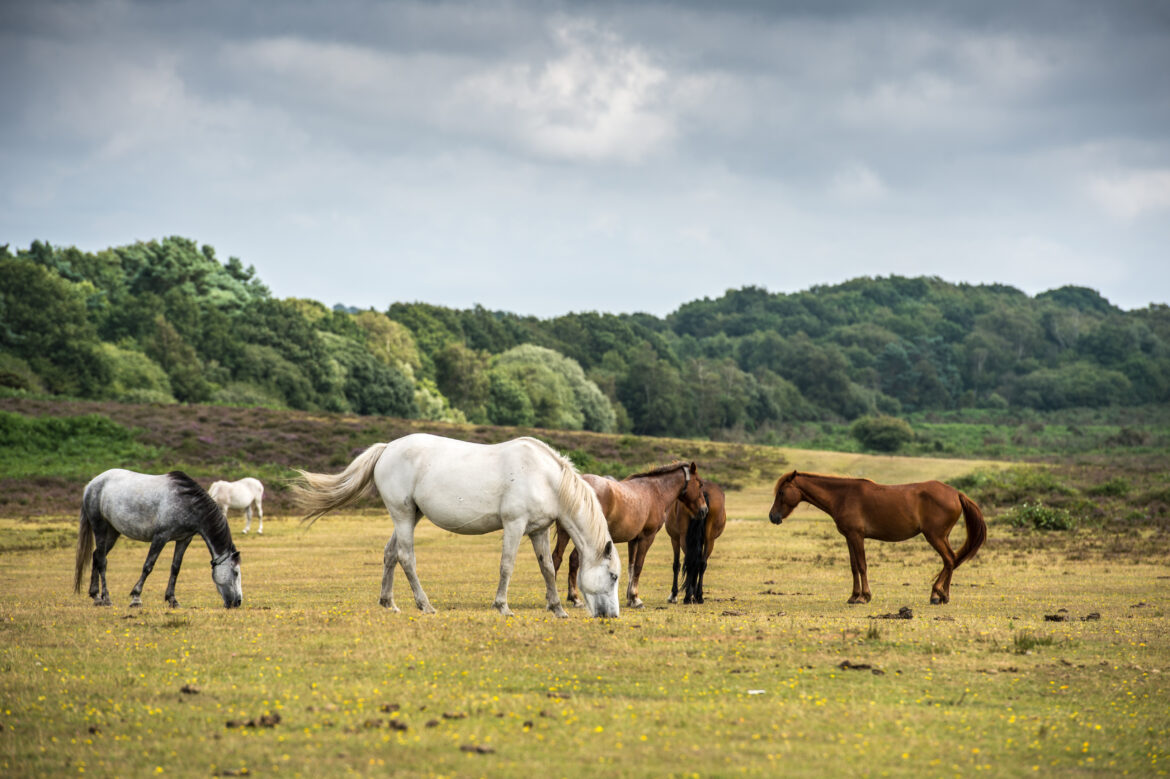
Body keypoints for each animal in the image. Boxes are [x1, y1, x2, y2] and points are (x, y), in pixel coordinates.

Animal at [74, 469, 243, 609]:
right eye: (235, 573)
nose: (238, 602)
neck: (187, 502)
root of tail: (91, 484)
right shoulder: (161, 537)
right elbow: (148, 566)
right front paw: (136, 598)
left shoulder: (184, 539)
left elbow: (175, 568)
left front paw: (172, 600)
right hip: (100, 528)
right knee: (102, 561)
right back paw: (106, 598)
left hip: (113, 532)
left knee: (96, 556)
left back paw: (96, 597)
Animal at [292, 433, 621, 618]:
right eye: (614, 576)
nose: (612, 616)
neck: (545, 477)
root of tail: (387, 448)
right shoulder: (514, 526)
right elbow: (507, 566)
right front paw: (502, 606)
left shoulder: (538, 530)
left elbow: (548, 568)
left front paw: (557, 609)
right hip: (402, 515)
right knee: (406, 557)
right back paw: (425, 605)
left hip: (409, 516)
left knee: (389, 554)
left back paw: (389, 603)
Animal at [552, 462, 707, 609]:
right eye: (700, 484)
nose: (704, 510)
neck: (656, 492)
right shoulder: (647, 537)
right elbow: (638, 566)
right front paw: (635, 598)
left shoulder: (633, 540)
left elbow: (631, 567)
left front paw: (630, 598)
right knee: (573, 560)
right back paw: (574, 598)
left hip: (565, 533)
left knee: (557, 558)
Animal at [768, 471, 987, 604]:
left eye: (781, 492)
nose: (772, 517)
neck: (843, 495)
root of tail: (956, 494)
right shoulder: (849, 537)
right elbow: (854, 566)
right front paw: (854, 596)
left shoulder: (857, 536)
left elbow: (862, 565)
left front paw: (864, 597)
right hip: (941, 536)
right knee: (951, 560)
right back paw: (942, 595)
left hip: (935, 536)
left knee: (949, 559)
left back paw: (937, 594)